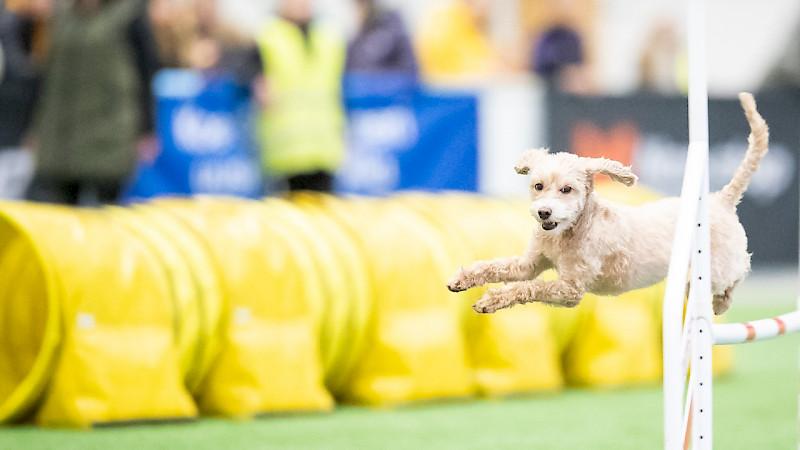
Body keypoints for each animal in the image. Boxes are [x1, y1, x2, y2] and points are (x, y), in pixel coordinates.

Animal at [450, 92, 768, 316]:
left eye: (567, 189)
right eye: (538, 186)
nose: (544, 212)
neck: (573, 230)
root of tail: (720, 200)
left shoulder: (570, 289)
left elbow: (529, 287)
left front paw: (490, 300)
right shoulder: (531, 262)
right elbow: (497, 267)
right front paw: (462, 279)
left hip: (719, 266)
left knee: (737, 273)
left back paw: (721, 303)